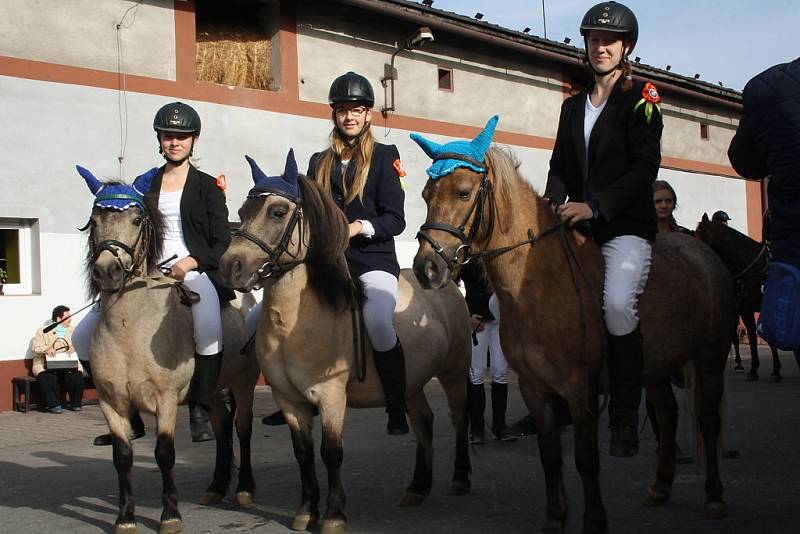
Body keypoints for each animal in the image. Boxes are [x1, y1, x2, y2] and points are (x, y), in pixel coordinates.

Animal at [77, 168, 260, 534]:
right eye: (94, 220)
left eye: (136, 220)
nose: (107, 271)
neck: (130, 328)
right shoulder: (110, 403)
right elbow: (122, 457)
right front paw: (125, 518)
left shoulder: (165, 399)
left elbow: (164, 453)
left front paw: (170, 515)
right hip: (213, 389)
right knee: (221, 427)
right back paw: (216, 486)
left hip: (245, 381)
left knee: (242, 428)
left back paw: (244, 489)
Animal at [216, 150, 472, 534]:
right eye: (243, 211)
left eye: (277, 212)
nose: (230, 266)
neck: (297, 322)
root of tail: (443, 283)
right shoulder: (288, 400)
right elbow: (303, 453)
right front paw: (306, 511)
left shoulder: (331, 395)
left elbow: (331, 452)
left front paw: (334, 515)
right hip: (411, 382)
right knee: (424, 423)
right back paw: (417, 487)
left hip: (454, 372)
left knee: (458, 417)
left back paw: (460, 478)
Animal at [412, 118, 736, 534]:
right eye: (425, 194)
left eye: (464, 192)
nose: (426, 268)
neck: (538, 281)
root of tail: (703, 254)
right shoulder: (535, 388)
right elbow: (551, 456)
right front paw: (555, 519)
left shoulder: (578, 389)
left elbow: (585, 459)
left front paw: (594, 521)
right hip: (656, 366)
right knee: (666, 414)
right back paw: (660, 487)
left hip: (710, 357)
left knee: (708, 421)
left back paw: (714, 496)